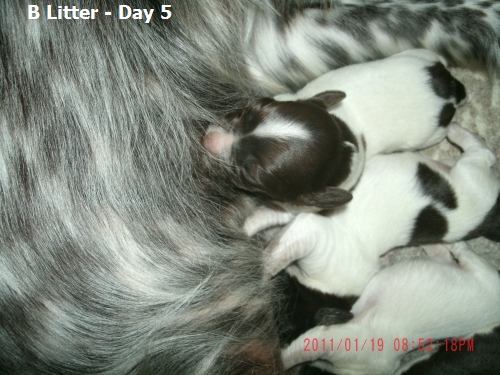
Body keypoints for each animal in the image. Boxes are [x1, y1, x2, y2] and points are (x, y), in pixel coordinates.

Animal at [202, 49, 464, 212]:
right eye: (252, 109)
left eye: (250, 174)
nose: (209, 138)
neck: (345, 140)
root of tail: (450, 87)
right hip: (418, 54)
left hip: (431, 134)